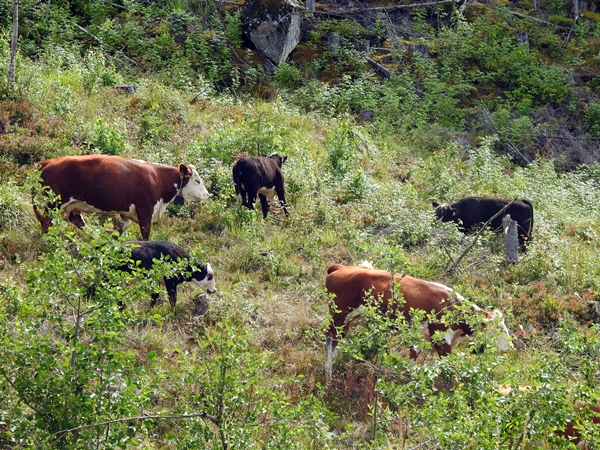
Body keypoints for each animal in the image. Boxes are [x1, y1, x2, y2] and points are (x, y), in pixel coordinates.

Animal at [35, 155, 210, 239]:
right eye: (197, 180)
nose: (207, 194)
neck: (157, 178)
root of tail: (49, 161)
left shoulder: (126, 211)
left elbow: (122, 227)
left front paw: (111, 235)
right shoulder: (145, 209)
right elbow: (145, 234)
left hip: (73, 204)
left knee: (77, 220)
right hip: (54, 202)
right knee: (46, 221)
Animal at [324, 264, 510, 384]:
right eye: (499, 329)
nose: (510, 346)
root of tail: (339, 267)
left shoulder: (420, 336)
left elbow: (413, 358)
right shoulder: (441, 339)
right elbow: (449, 365)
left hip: (351, 320)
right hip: (339, 318)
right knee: (331, 342)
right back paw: (328, 377)